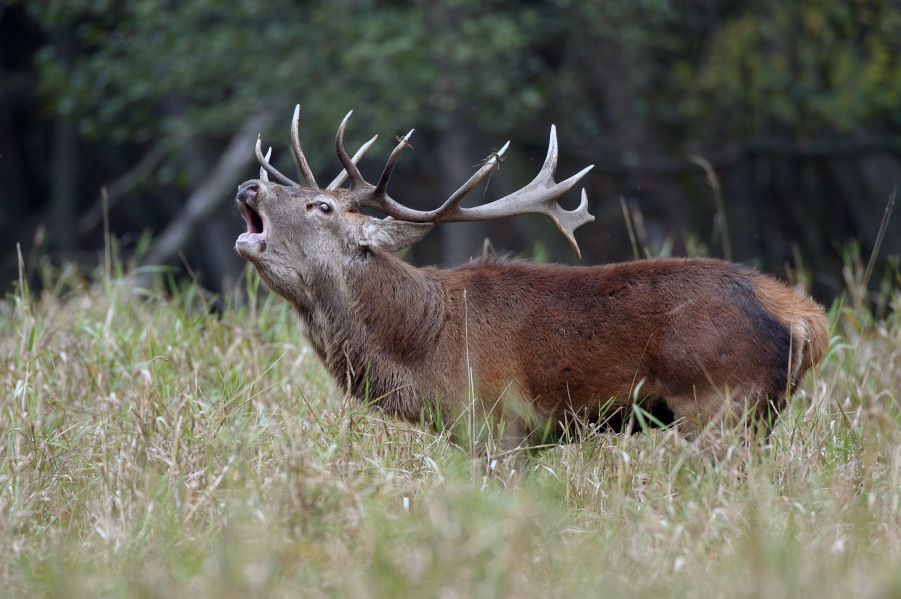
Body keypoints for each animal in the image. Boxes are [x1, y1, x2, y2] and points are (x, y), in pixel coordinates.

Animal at [234, 105, 828, 449]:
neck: (422, 346)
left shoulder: (496, 422)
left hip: (718, 404)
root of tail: (806, 319)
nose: (248, 186)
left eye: (321, 207)